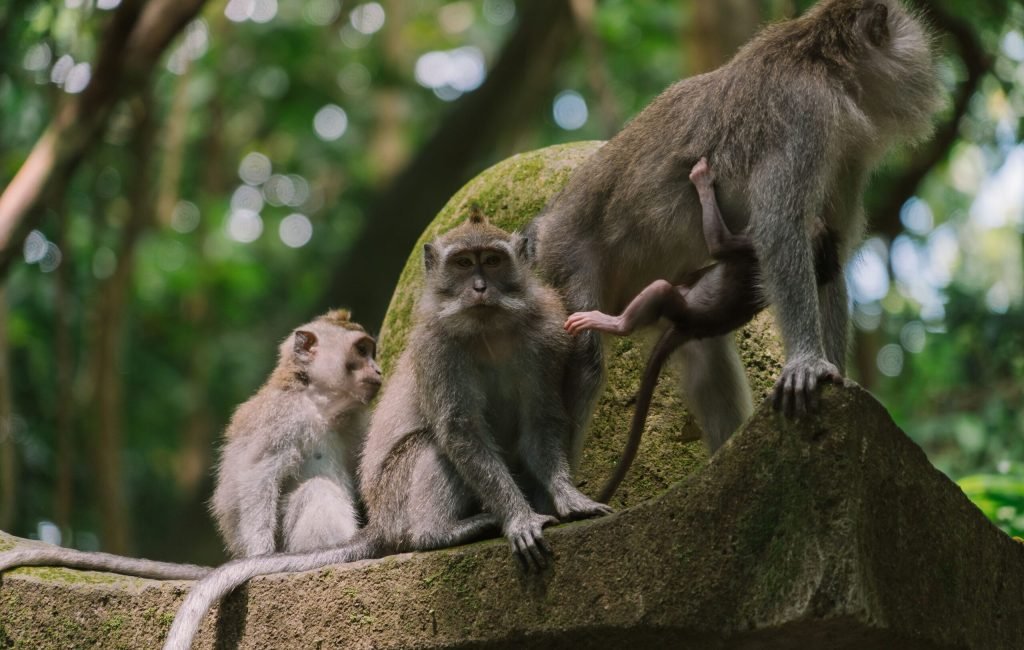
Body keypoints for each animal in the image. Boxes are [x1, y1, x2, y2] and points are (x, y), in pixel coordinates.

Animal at [0, 310, 380, 580]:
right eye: (361, 350)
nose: (377, 369)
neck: (321, 404)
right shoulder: (282, 418)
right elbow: (257, 476)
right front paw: (261, 555)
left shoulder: (357, 422)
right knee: (315, 490)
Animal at [161, 214, 611, 650]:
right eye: (464, 263)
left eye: (493, 260)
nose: (480, 288)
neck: (489, 327)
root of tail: (380, 522)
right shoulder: (435, 346)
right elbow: (459, 429)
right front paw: (518, 518)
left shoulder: (547, 333)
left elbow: (540, 421)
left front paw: (570, 499)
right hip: (397, 501)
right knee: (430, 445)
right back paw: (438, 533)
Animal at [526, 0, 942, 457]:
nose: (928, 65)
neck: (825, 68)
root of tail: (546, 225)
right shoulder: (805, 116)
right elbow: (780, 229)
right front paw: (807, 362)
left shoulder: (846, 152)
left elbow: (831, 252)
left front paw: (835, 374)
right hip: (565, 252)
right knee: (585, 359)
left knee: (704, 356)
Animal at [563, 158, 840, 502]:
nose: (818, 217)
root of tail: (690, 329)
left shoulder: (751, 246)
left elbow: (719, 245)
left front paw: (702, 180)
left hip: (675, 304)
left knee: (656, 293)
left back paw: (609, 322)